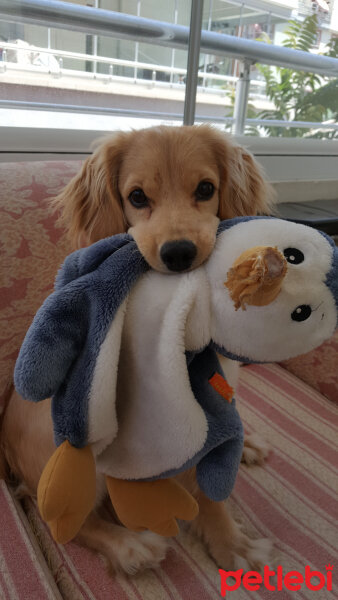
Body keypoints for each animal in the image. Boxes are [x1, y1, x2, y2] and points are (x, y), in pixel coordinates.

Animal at [0, 124, 274, 576]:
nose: (178, 253)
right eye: (138, 197)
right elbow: (205, 489)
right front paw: (232, 542)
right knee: (64, 522)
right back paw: (128, 545)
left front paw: (243, 444)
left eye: (205, 188)